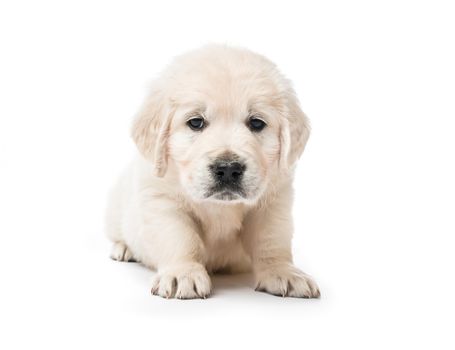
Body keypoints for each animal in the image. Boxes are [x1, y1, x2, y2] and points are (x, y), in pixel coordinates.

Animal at [106, 44, 320, 298]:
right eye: (196, 122)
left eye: (256, 123)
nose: (228, 169)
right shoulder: (162, 199)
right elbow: (179, 237)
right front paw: (182, 273)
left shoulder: (274, 202)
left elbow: (271, 239)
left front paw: (283, 272)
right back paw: (124, 248)